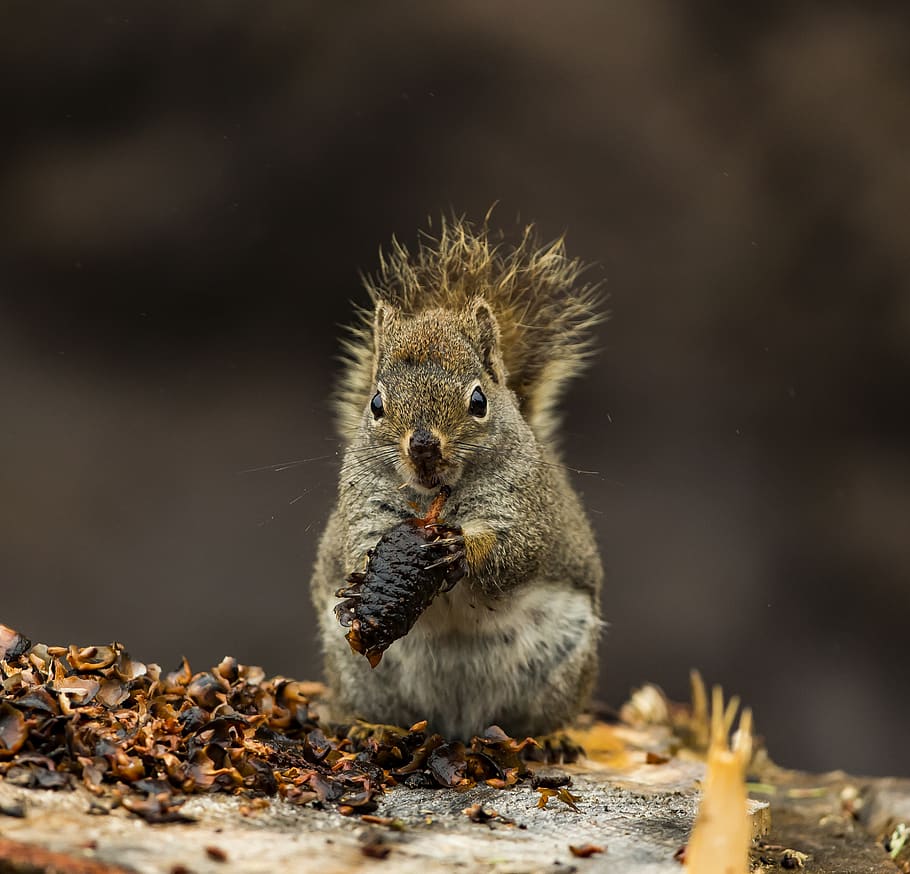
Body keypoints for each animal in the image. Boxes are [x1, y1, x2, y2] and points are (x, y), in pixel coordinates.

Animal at [310, 216, 605, 740]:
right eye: (376, 403)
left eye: (478, 401)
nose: (424, 446)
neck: (437, 501)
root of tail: (456, 722)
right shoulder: (364, 506)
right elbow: (360, 541)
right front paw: (362, 583)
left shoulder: (525, 508)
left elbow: (515, 553)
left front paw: (463, 550)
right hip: (358, 675)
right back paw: (370, 728)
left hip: (560, 665)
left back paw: (549, 738)